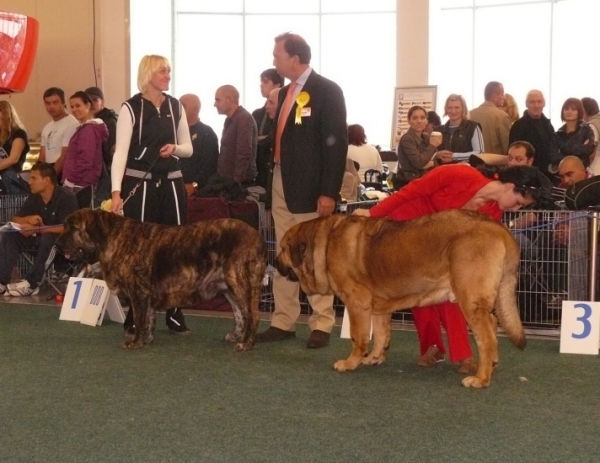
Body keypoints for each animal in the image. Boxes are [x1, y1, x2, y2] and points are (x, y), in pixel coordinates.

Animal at [56, 208, 268, 350]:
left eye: (73, 228)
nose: (57, 244)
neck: (112, 237)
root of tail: (259, 238)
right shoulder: (146, 293)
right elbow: (148, 317)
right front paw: (146, 339)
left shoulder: (138, 292)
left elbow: (140, 317)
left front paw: (136, 342)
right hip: (228, 287)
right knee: (241, 314)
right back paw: (237, 336)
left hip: (238, 281)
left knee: (252, 314)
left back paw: (247, 344)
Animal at [276, 210, 524, 388]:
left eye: (283, 248)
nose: (275, 262)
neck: (325, 243)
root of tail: (499, 227)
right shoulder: (379, 307)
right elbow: (381, 334)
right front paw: (374, 357)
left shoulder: (357, 302)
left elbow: (358, 337)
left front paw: (350, 363)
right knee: (493, 324)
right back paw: (491, 365)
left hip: (469, 298)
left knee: (487, 338)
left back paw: (481, 379)